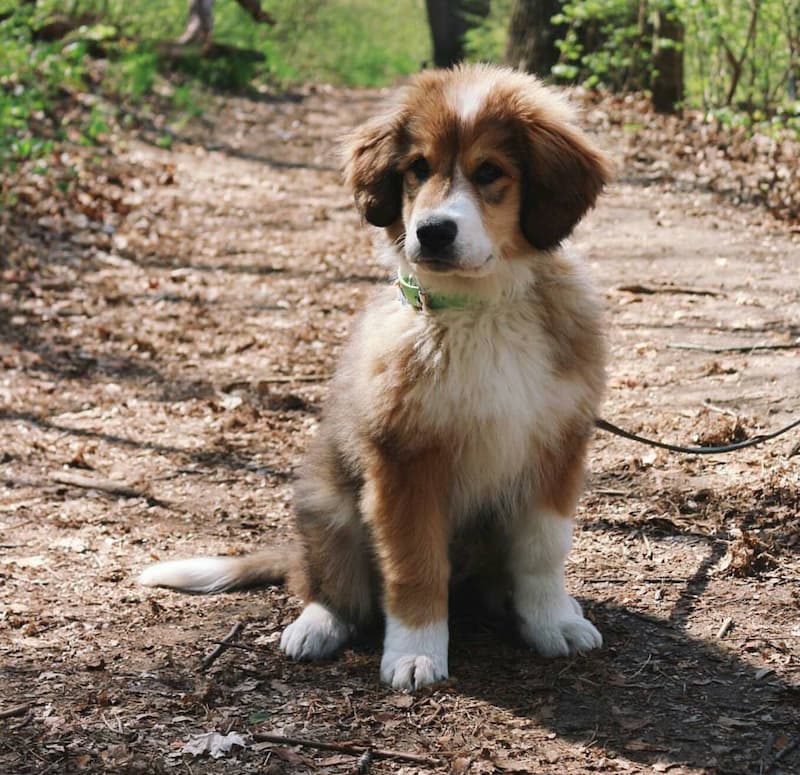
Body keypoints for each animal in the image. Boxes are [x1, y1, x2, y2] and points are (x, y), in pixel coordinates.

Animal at [139, 62, 612, 692]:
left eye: (490, 172)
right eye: (418, 169)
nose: (433, 231)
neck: (478, 309)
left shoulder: (557, 445)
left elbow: (543, 549)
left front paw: (552, 621)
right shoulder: (404, 462)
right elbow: (413, 565)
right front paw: (415, 650)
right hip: (328, 503)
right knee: (330, 585)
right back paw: (316, 625)